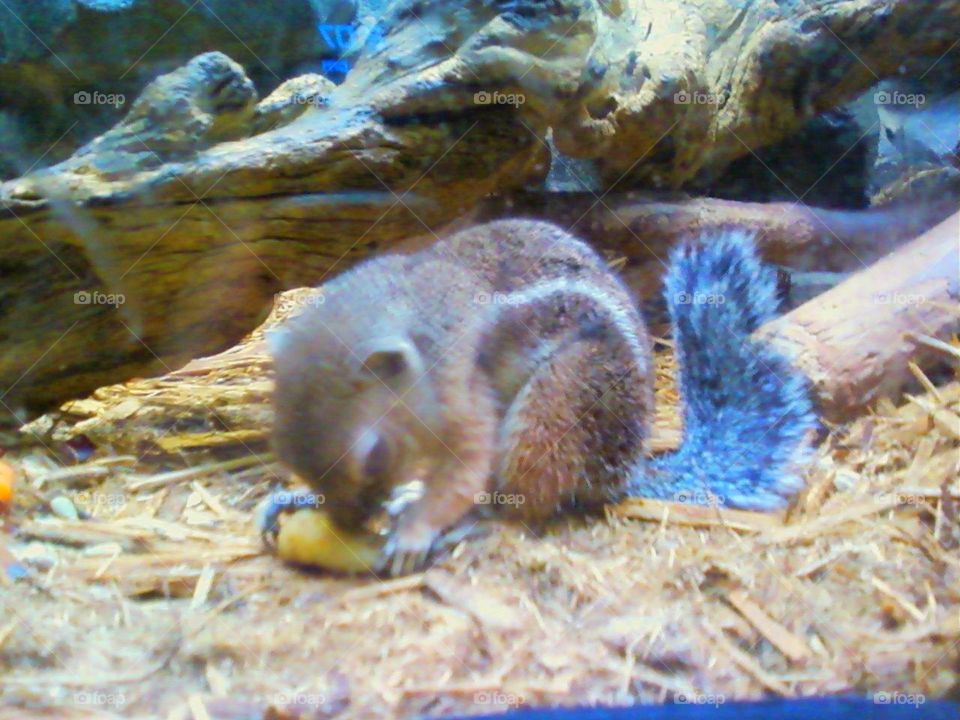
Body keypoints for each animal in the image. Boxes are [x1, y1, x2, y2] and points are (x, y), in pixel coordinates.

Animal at [262, 218, 816, 572]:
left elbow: (463, 473)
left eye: (373, 455)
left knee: (521, 505)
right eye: (283, 447)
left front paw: (416, 530)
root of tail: (623, 470)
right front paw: (299, 494)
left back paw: (469, 523)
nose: (347, 523)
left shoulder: (464, 392)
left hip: (556, 403)